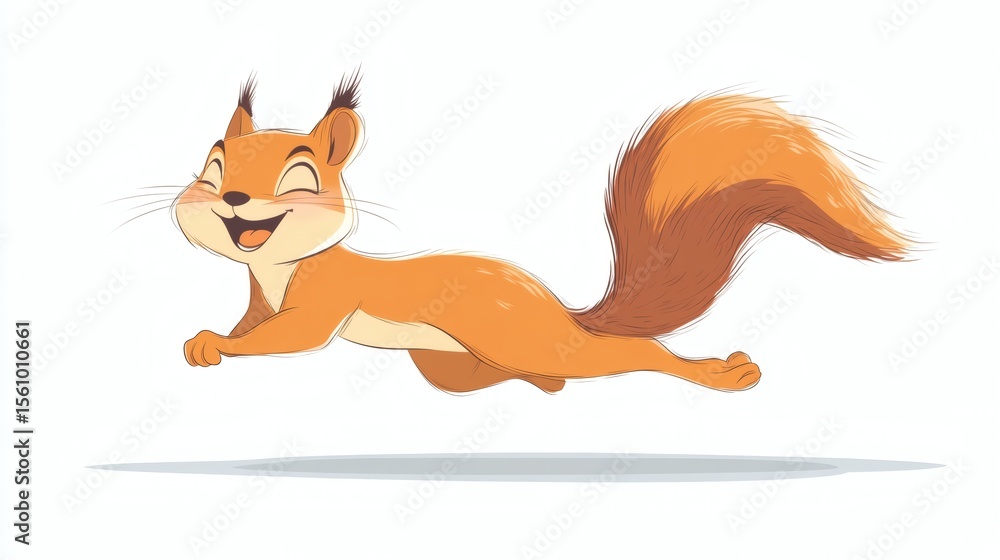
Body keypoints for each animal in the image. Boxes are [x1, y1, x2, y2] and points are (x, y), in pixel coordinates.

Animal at [172, 72, 910, 394]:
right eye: (212, 168)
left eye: (301, 178)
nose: (232, 197)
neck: (277, 267)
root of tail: (557, 308)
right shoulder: (260, 298)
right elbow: (252, 326)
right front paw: (207, 342)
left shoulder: (322, 302)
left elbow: (286, 337)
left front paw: (215, 345)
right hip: (454, 363)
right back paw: (539, 388)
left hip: (529, 339)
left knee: (629, 355)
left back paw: (721, 374)